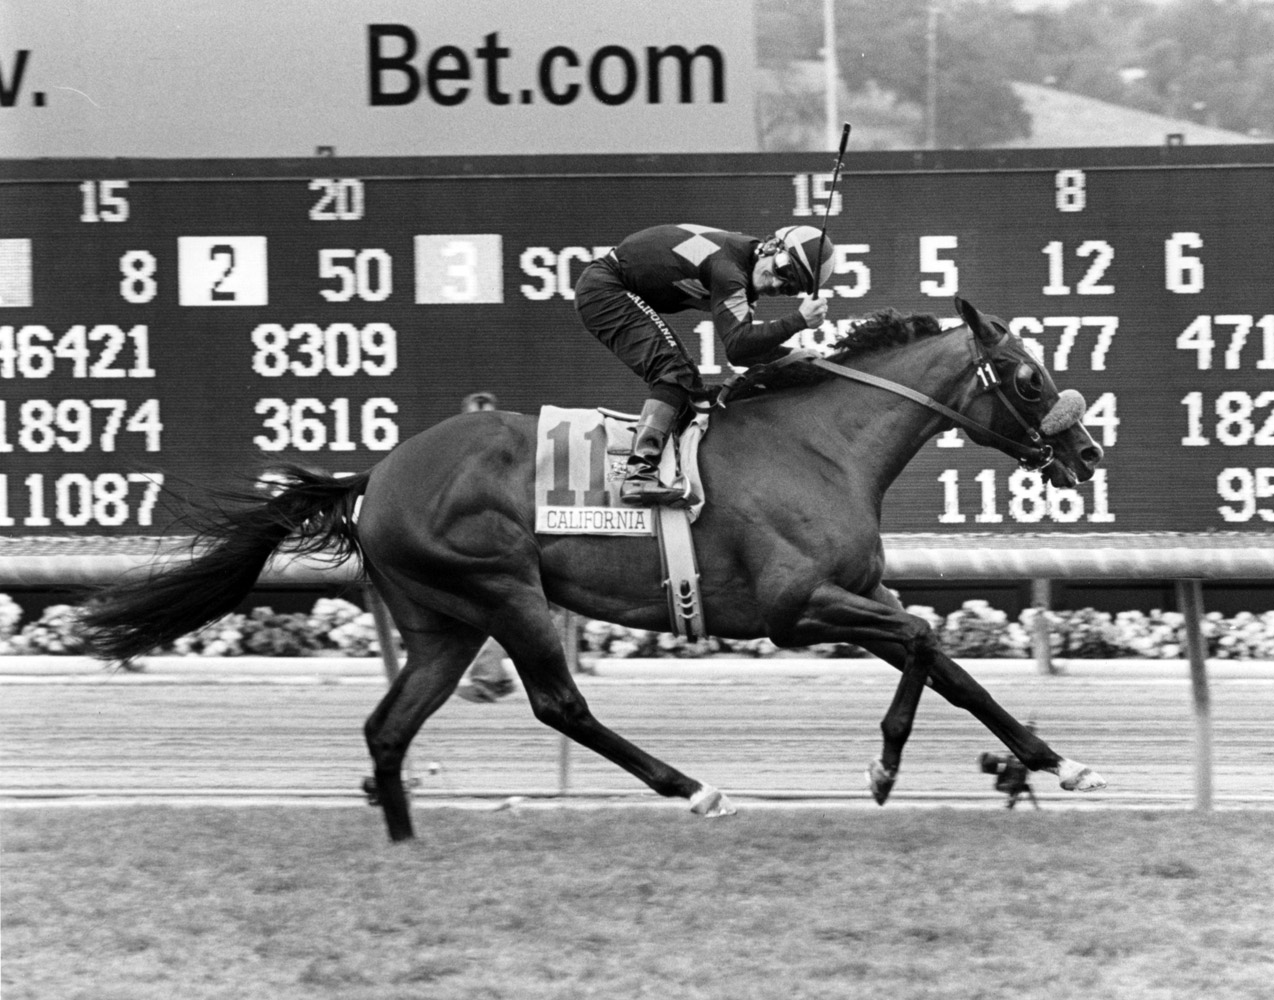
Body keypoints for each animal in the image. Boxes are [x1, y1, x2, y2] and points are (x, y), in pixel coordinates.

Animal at [84, 294, 1110, 835]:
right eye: (1029, 378)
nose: (1087, 453)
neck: (822, 446)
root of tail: (378, 473)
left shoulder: (857, 591)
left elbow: (941, 663)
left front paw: (1046, 763)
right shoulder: (798, 607)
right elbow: (929, 642)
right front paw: (895, 767)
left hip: (442, 621)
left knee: (388, 728)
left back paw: (404, 841)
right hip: (502, 588)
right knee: (558, 704)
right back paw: (693, 788)